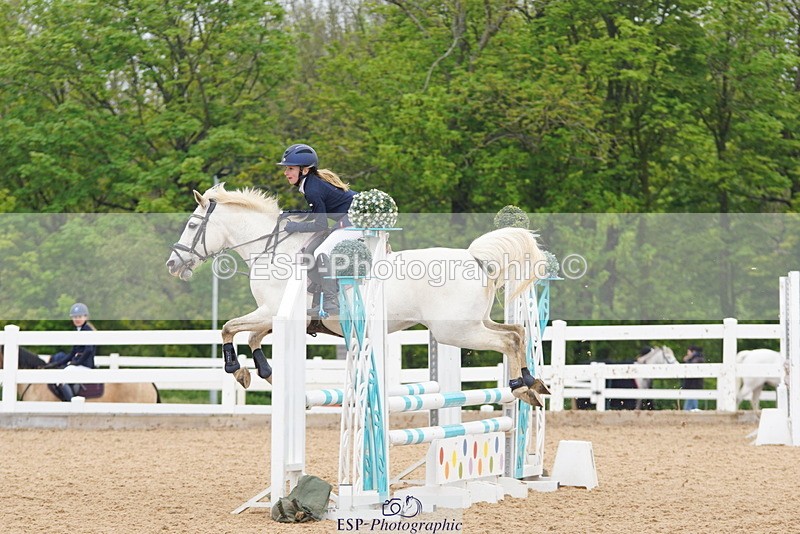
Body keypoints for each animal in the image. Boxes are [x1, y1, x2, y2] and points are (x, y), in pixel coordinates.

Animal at [165, 184, 550, 406]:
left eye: (192, 225)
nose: (173, 264)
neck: (272, 249)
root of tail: (475, 258)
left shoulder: (272, 309)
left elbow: (230, 328)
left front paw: (237, 369)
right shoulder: (279, 315)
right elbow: (252, 336)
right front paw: (263, 372)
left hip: (454, 330)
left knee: (507, 341)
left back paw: (520, 386)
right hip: (473, 322)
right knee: (517, 333)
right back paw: (533, 384)